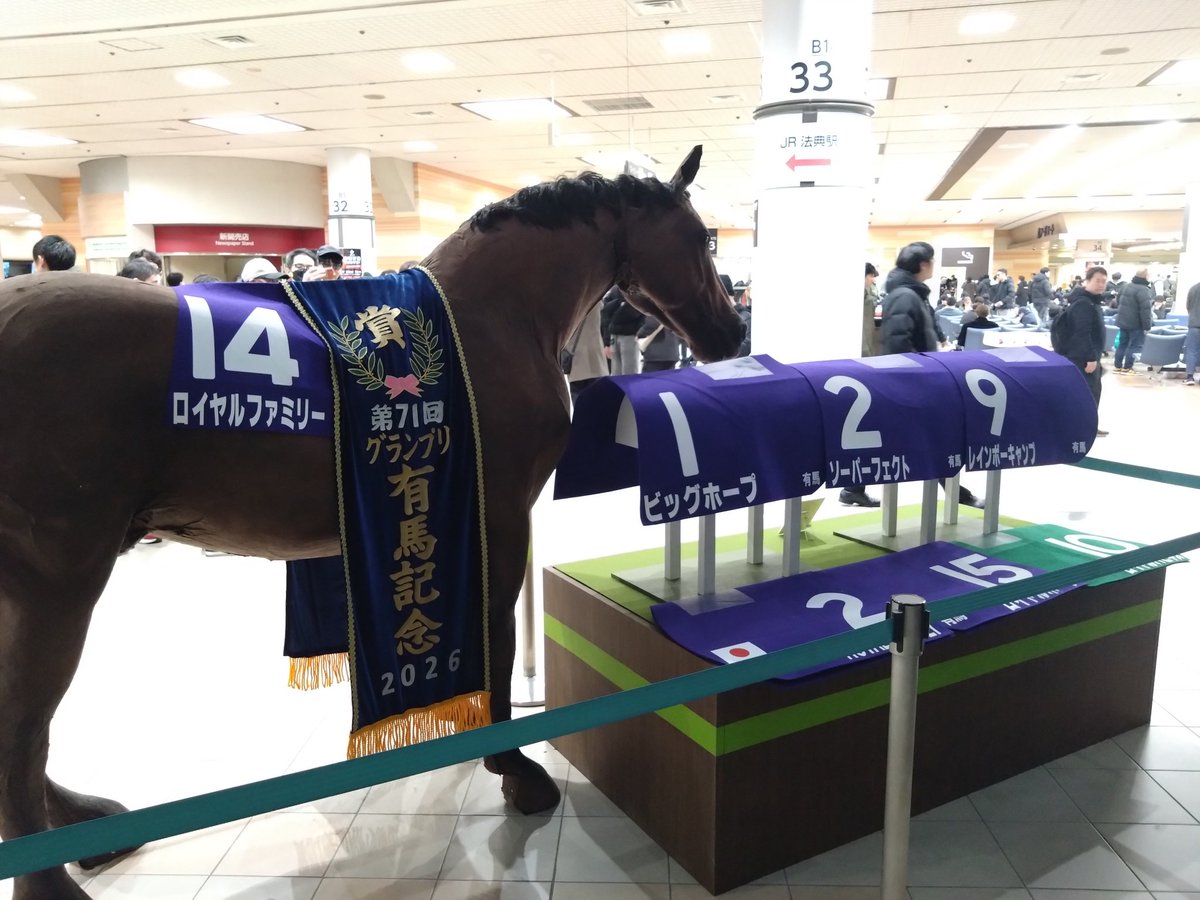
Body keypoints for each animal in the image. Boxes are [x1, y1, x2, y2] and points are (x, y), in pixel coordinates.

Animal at [0, 145, 744, 900]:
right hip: (59, 582)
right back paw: (52, 875)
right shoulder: (500, 521)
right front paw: (512, 768)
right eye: (698, 238)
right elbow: (498, 642)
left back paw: (87, 824)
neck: (491, 317)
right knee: (22, 727)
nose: (733, 330)